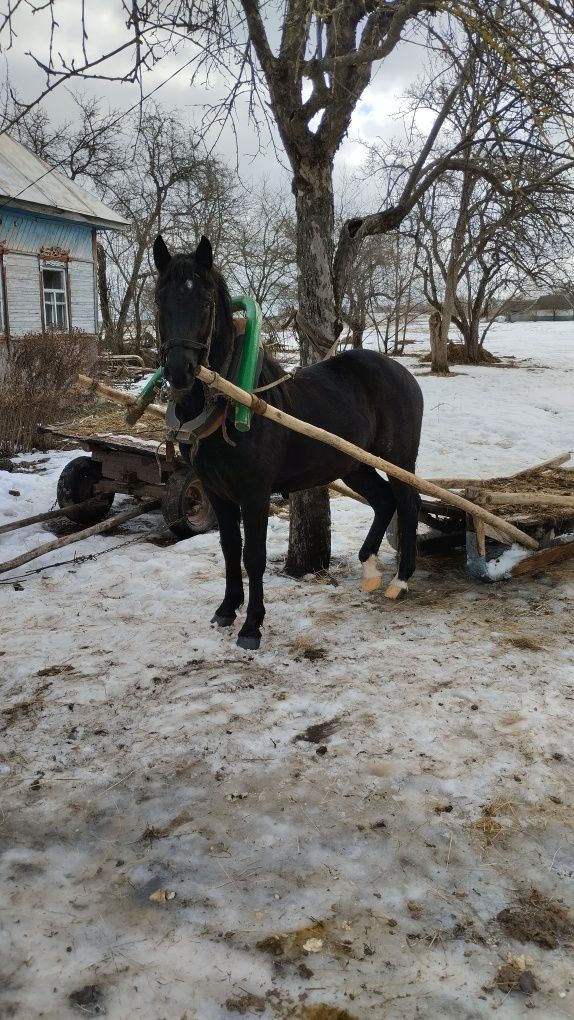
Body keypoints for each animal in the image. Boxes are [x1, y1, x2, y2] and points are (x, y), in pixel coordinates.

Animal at [154, 234, 424, 648]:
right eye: (158, 300)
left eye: (205, 303)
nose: (180, 371)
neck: (232, 403)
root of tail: (402, 373)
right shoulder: (216, 490)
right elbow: (229, 550)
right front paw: (226, 609)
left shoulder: (255, 491)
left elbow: (254, 556)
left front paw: (252, 626)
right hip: (353, 463)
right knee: (383, 502)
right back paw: (369, 569)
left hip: (399, 460)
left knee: (407, 506)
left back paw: (401, 580)